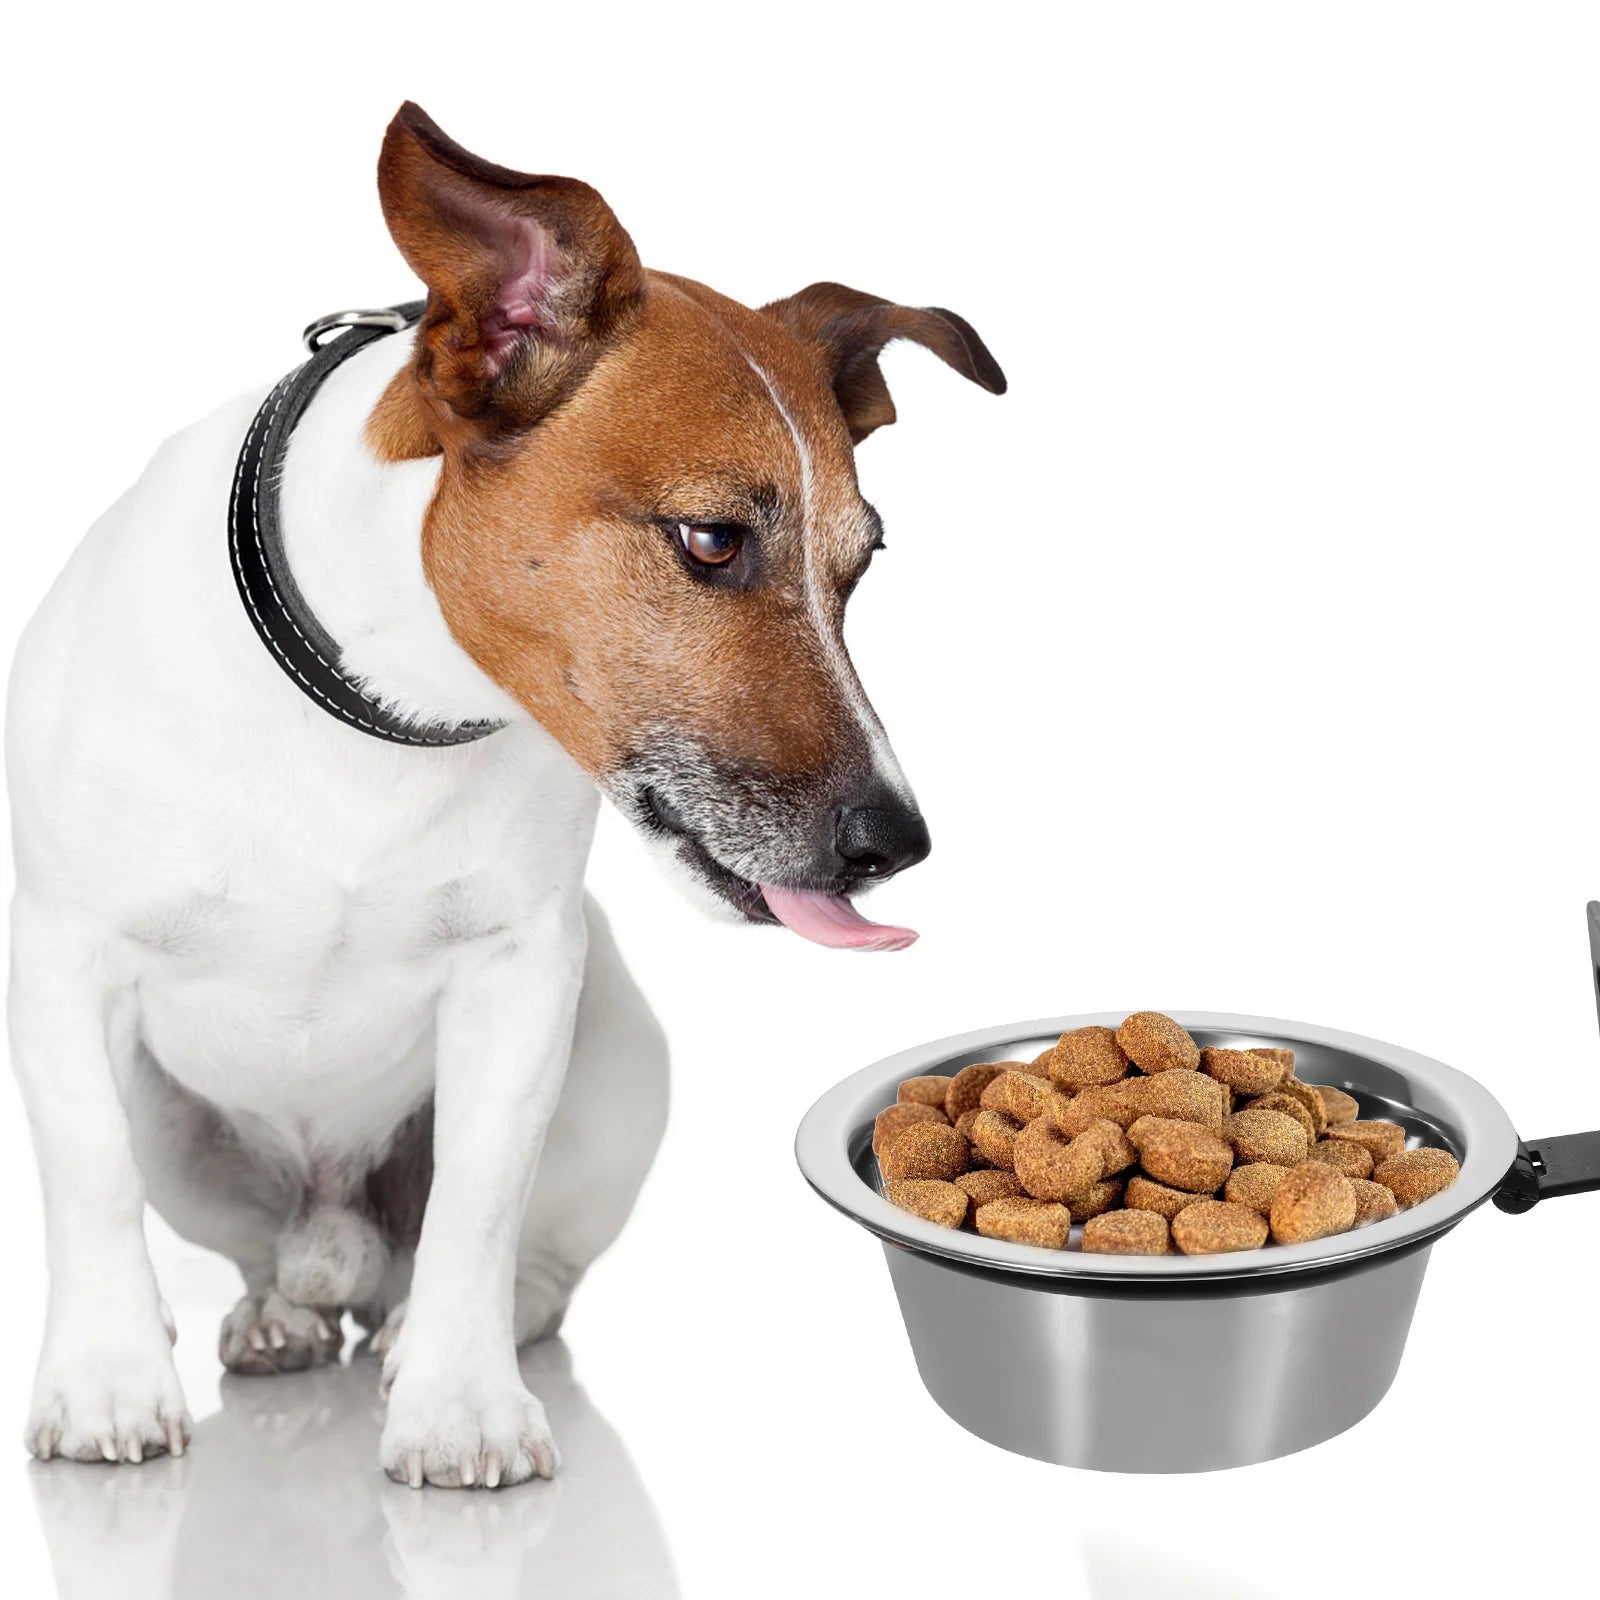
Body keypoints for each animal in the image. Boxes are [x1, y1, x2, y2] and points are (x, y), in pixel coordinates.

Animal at [9, 103, 998, 1484]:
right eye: (710, 540)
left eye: (861, 565)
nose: (894, 844)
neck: (382, 708)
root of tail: (337, 1238)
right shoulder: (64, 957)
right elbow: (85, 1170)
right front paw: (104, 1380)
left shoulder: (520, 976)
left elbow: (481, 1198)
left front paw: (458, 1401)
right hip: (184, 1131)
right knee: (261, 1254)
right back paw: (272, 1313)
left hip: (617, 1058)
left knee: (518, 1260)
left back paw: (424, 1324)